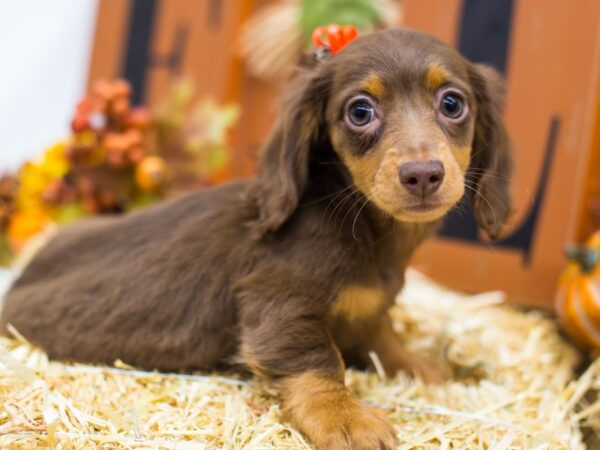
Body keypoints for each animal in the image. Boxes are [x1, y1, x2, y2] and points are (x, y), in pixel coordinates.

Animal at [2, 29, 512, 450]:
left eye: (452, 104)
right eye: (360, 111)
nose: (423, 174)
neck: (359, 222)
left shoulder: (369, 307)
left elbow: (379, 332)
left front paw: (414, 363)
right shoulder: (277, 307)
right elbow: (317, 360)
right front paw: (344, 417)